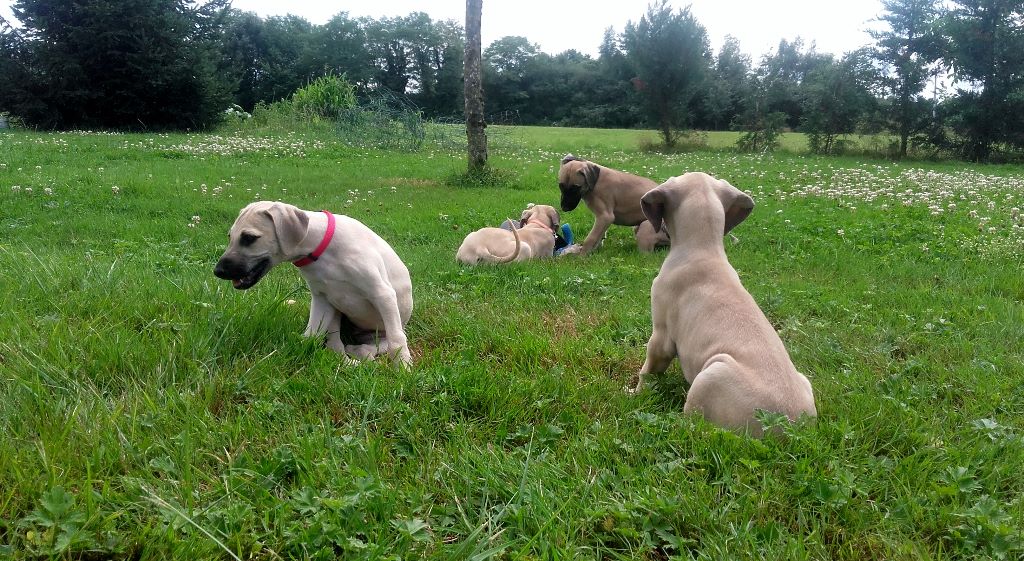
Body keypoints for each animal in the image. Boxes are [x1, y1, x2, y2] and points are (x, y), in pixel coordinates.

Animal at [214, 201, 413, 368]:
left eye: (249, 238)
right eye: (230, 237)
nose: (217, 271)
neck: (322, 251)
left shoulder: (382, 294)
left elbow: (396, 340)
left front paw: (403, 368)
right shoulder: (322, 299)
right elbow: (313, 334)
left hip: (385, 326)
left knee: (384, 342)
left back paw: (360, 352)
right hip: (336, 313)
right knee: (335, 342)